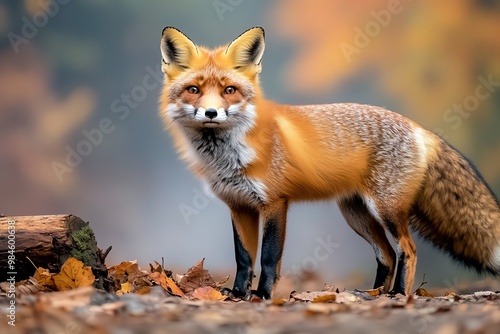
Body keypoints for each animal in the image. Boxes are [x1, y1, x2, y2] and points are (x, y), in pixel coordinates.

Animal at [159, 24, 500, 298]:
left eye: (229, 90)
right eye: (193, 90)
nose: (211, 113)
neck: (230, 156)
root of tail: (418, 127)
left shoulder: (274, 203)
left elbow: (268, 257)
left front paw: (262, 295)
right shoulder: (238, 205)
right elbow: (244, 258)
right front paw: (239, 294)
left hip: (386, 210)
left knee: (408, 250)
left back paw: (399, 295)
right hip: (356, 214)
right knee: (388, 255)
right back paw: (374, 294)